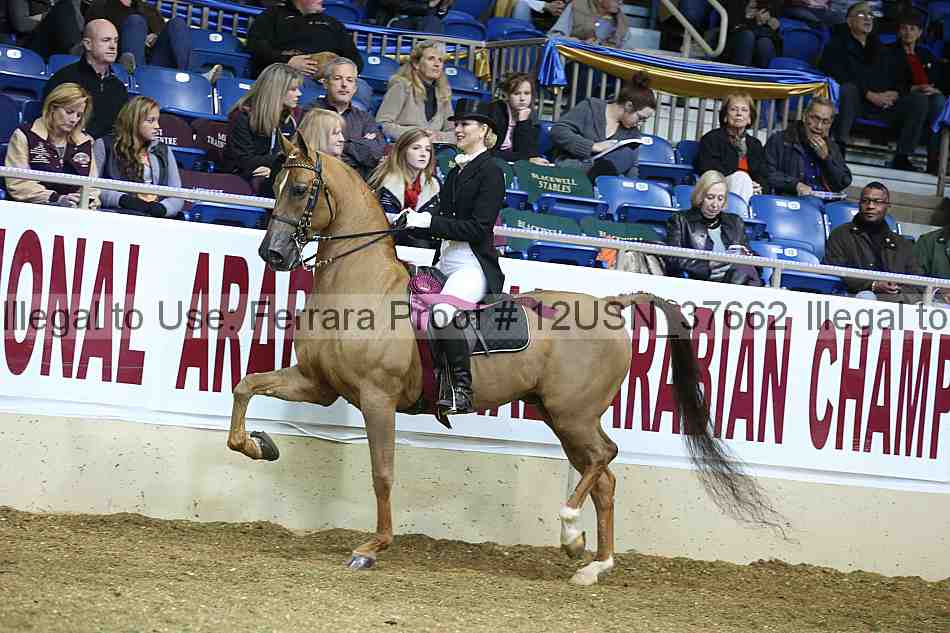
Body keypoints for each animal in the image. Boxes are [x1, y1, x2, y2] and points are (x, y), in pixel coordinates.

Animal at [227, 133, 776, 586]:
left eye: (301, 189)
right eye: (275, 184)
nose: (272, 254)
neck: (363, 286)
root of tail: (611, 302)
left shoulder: (375, 399)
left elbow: (382, 472)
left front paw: (372, 547)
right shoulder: (318, 384)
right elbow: (246, 385)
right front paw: (258, 445)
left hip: (573, 415)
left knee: (605, 458)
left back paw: (570, 532)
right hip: (561, 415)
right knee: (604, 476)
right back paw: (593, 564)